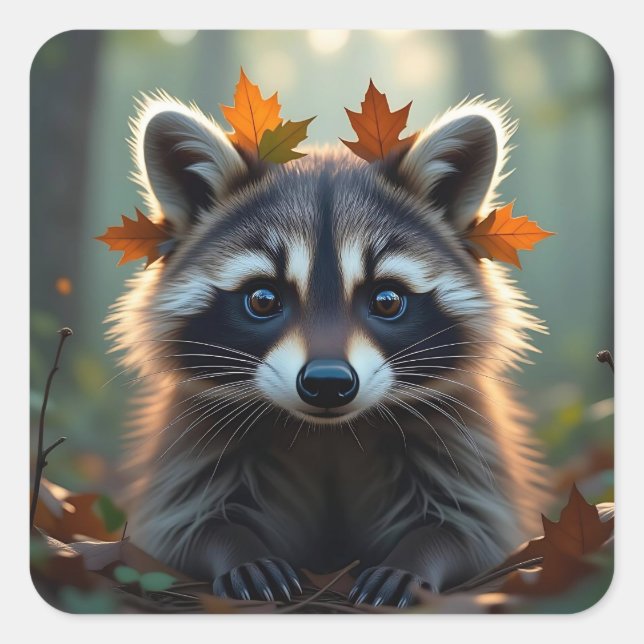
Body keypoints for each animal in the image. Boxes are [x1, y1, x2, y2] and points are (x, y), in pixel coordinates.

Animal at [108, 92, 548, 607]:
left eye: (386, 300)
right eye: (263, 299)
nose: (327, 383)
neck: (329, 433)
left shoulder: (460, 435)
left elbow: (474, 529)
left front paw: (415, 559)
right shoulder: (196, 438)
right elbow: (184, 526)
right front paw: (238, 551)